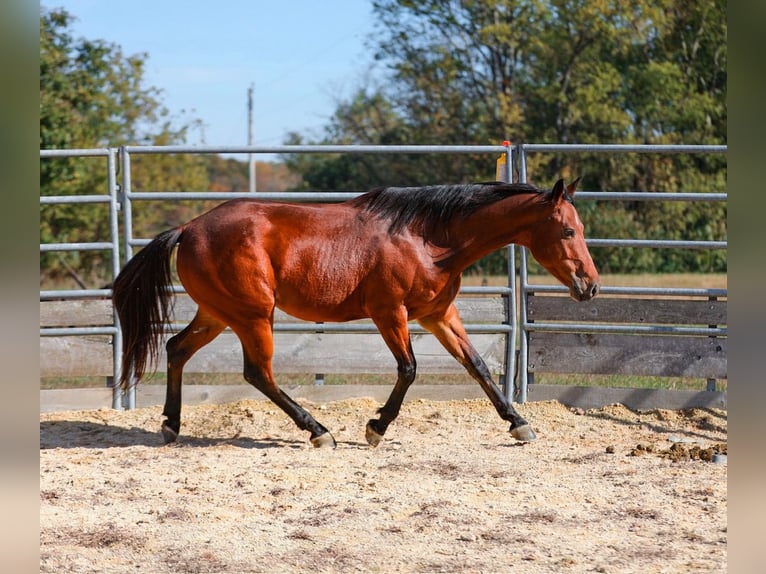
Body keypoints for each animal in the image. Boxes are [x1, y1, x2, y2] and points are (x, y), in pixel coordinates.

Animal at [112, 178, 600, 448]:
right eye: (567, 230)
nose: (590, 286)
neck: (429, 239)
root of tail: (189, 228)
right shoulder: (389, 313)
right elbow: (409, 369)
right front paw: (375, 428)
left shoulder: (438, 314)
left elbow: (477, 365)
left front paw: (519, 424)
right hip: (251, 316)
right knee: (258, 373)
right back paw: (318, 431)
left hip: (218, 313)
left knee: (177, 349)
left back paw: (171, 425)